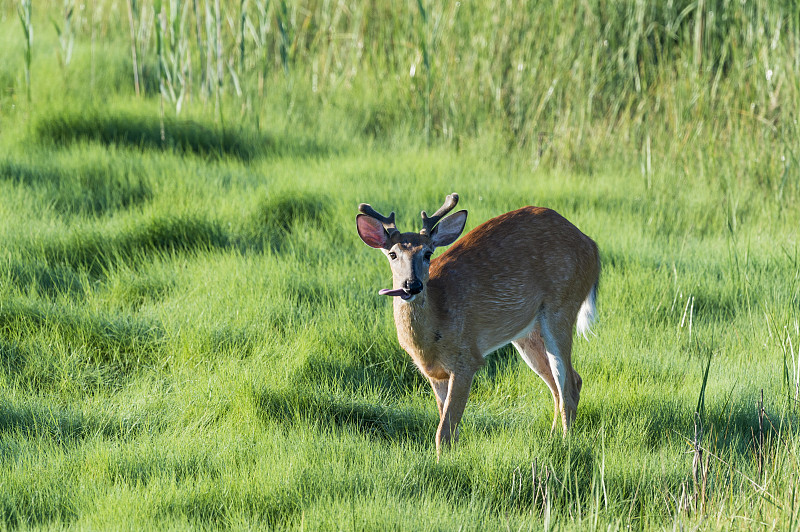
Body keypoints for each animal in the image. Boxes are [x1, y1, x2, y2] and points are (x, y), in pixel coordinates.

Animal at [356, 193, 600, 456]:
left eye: (428, 253)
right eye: (392, 254)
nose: (412, 285)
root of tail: (592, 246)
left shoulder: (467, 358)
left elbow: (444, 431)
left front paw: (443, 461)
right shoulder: (434, 373)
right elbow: (448, 426)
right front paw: (450, 458)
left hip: (562, 305)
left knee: (569, 386)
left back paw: (565, 443)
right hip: (527, 332)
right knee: (562, 384)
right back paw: (553, 438)